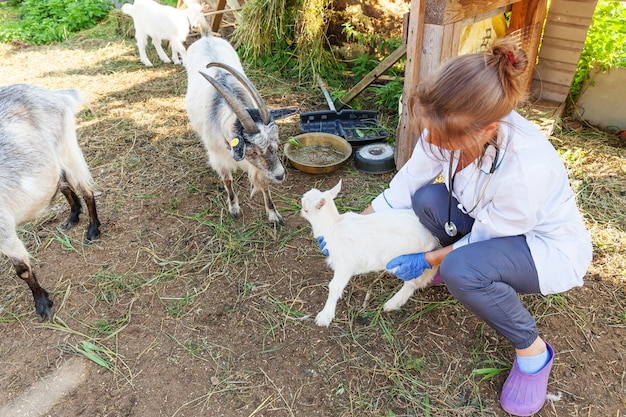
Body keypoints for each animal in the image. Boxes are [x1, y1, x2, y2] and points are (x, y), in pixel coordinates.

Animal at [0, 83, 101, 320]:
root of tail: (54, 94)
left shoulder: (4, 231)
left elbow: (22, 270)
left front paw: (42, 304)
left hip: (67, 147)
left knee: (85, 188)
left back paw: (93, 229)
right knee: (61, 180)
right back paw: (73, 216)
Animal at [184, 34, 296, 226]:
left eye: (276, 143)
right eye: (252, 151)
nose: (280, 175)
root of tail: (206, 35)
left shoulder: (260, 167)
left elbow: (263, 183)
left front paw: (273, 215)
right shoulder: (218, 158)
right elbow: (227, 180)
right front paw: (234, 207)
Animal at [298, 180, 438, 326]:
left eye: (306, 209)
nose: (300, 212)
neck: (333, 225)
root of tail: (432, 238)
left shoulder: (345, 263)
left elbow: (334, 286)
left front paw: (325, 316)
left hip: (408, 262)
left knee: (413, 283)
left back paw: (392, 304)